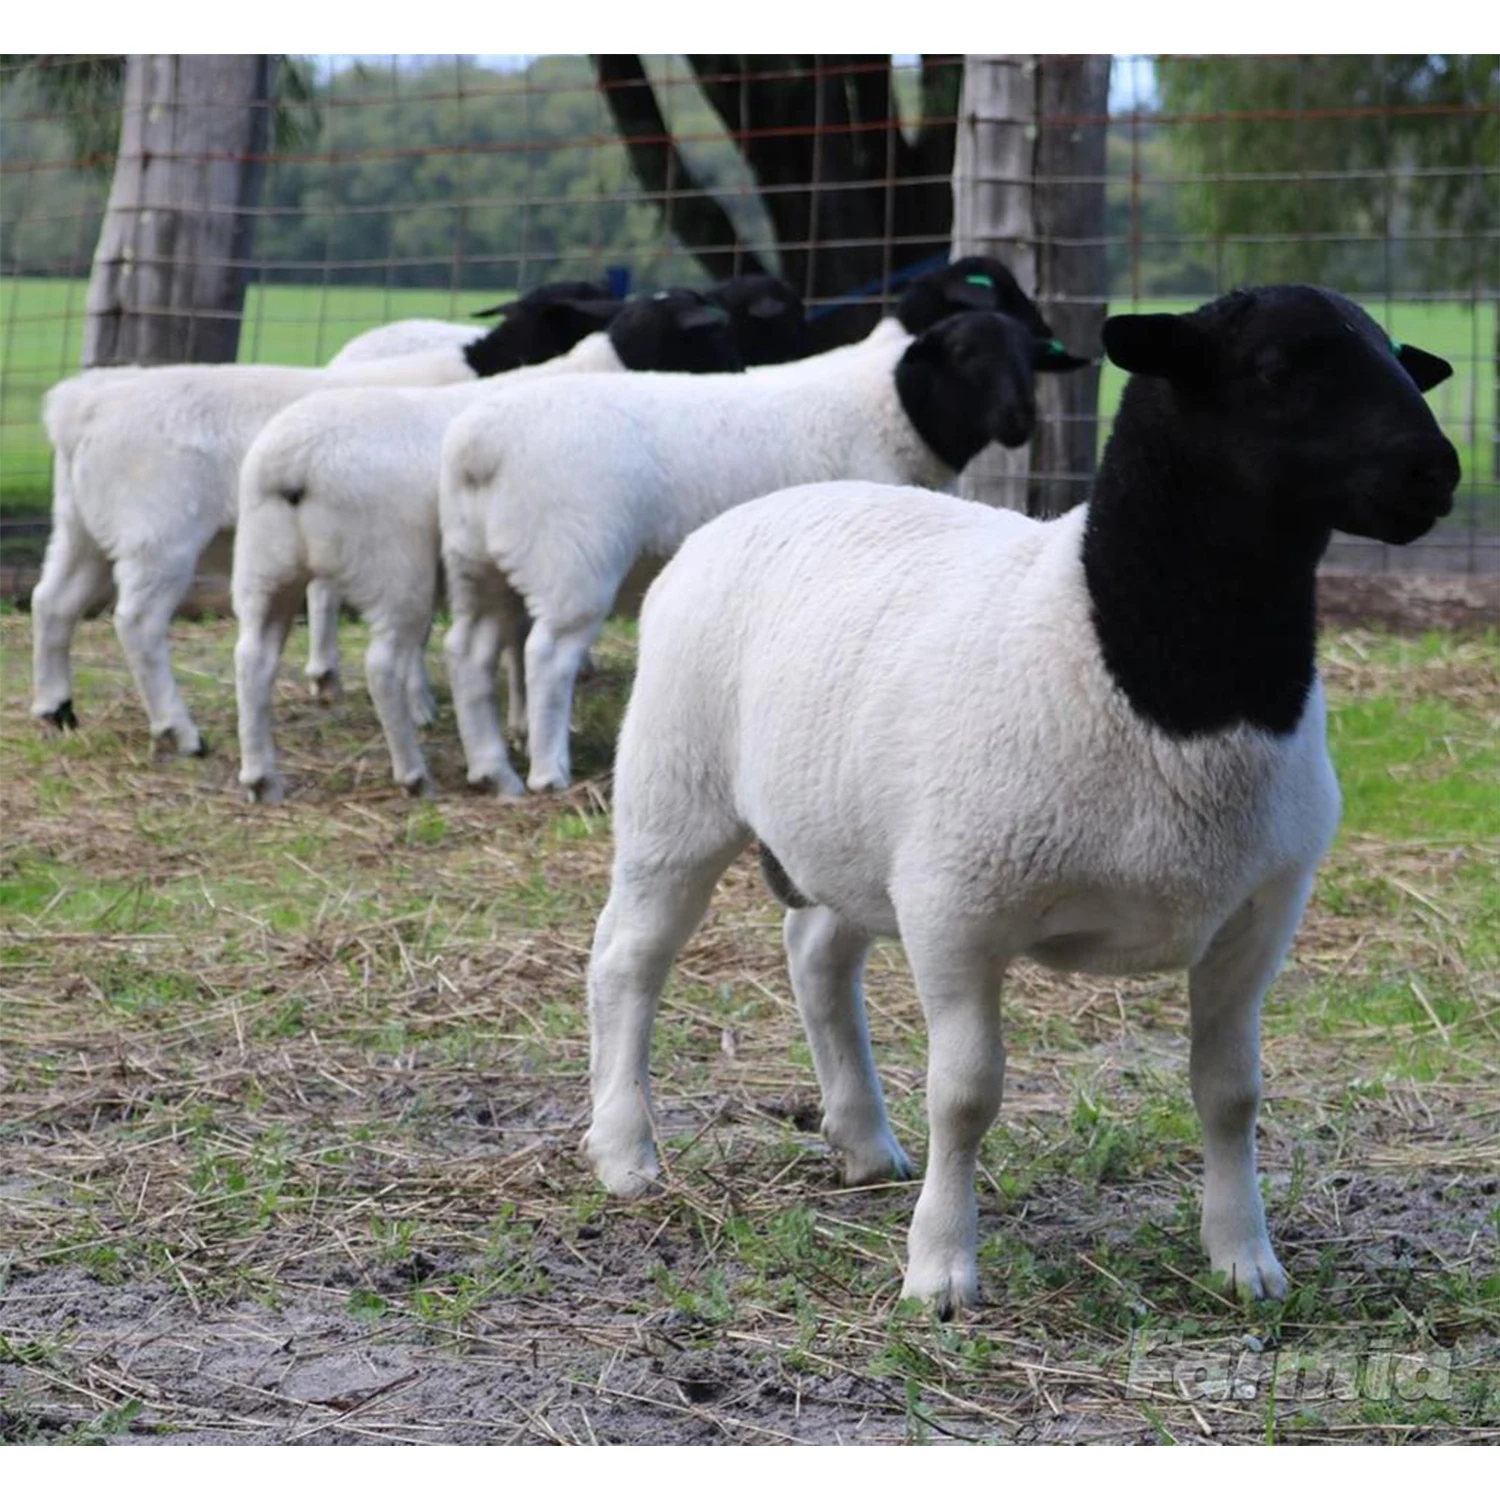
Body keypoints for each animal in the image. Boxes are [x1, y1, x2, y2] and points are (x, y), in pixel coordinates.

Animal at [231, 295, 741, 810]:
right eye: (711, 333)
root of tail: (294, 465)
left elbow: (515, 645)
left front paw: (519, 725)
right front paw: (527, 729)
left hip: (264, 568)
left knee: (254, 656)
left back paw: (262, 776)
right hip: (393, 571)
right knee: (382, 663)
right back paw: (415, 772)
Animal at [438, 306, 1086, 798]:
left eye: (1030, 356)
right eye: (965, 354)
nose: (1021, 419)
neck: (886, 412)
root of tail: (476, 448)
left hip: (479, 563)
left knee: (468, 652)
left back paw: (491, 769)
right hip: (571, 561)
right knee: (547, 656)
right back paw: (549, 771)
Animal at [579, 282, 1458, 1314]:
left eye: (1398, 355)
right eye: (1278, 369)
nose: (1437, 471)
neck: (1161, 678)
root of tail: (746, 513)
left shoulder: (1257, 918)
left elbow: (1231, 1093)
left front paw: (1246, 1261)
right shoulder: (958, 908)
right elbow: (966, 1097)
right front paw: (941, 1272)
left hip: (855, 834)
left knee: (816, 955)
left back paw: (864, 1143)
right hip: (676, 796)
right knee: (629, 962)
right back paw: (626, 1152)